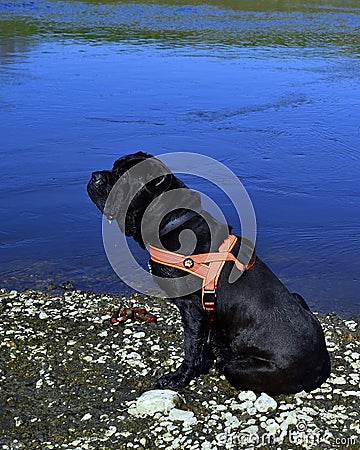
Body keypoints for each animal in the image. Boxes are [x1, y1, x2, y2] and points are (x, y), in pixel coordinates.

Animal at [86, 151, 330, 394]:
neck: (170, 221)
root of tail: (321, 365)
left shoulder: (191, 308)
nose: (94, 175)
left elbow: (191, 346)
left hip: (237, 368)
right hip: (297, 297)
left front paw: (179, 377)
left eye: (124, 177)